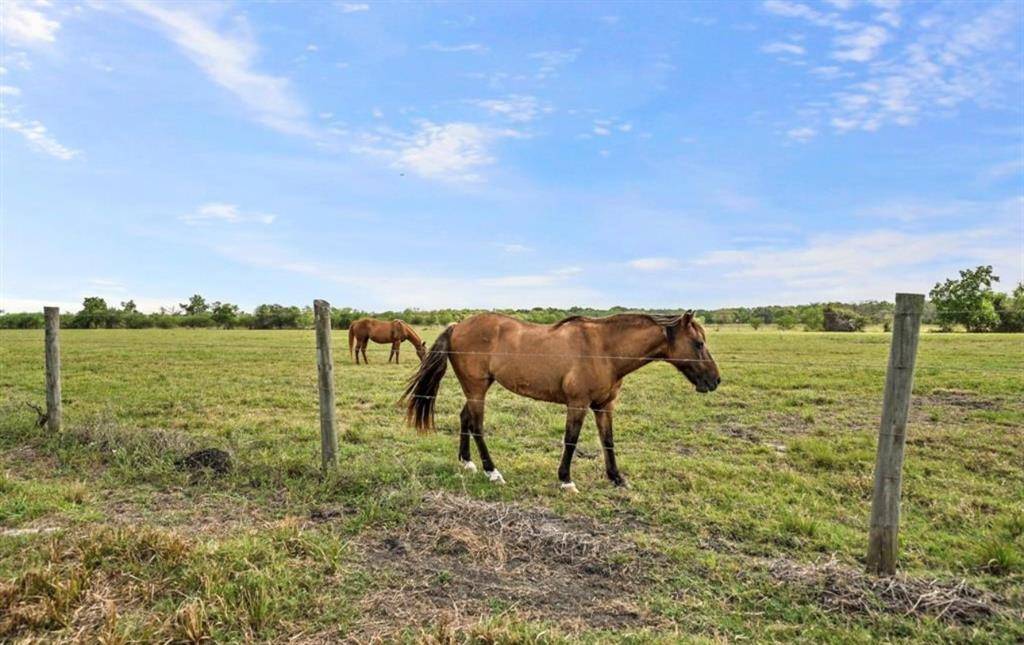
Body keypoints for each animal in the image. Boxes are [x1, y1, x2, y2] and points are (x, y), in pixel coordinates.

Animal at [399, 313, 720, 489]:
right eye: (698, 343)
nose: (715, 381)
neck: (604, 348)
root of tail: (458, 325)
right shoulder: (577, 403)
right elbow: (571, 440)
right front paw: (566, 479)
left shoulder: (604, 406)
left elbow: (608, 441)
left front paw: (617, 478)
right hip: (477, 389)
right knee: (476, 425)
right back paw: (493, 472)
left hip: (478, 388)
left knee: (465, 418)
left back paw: (467, 462)